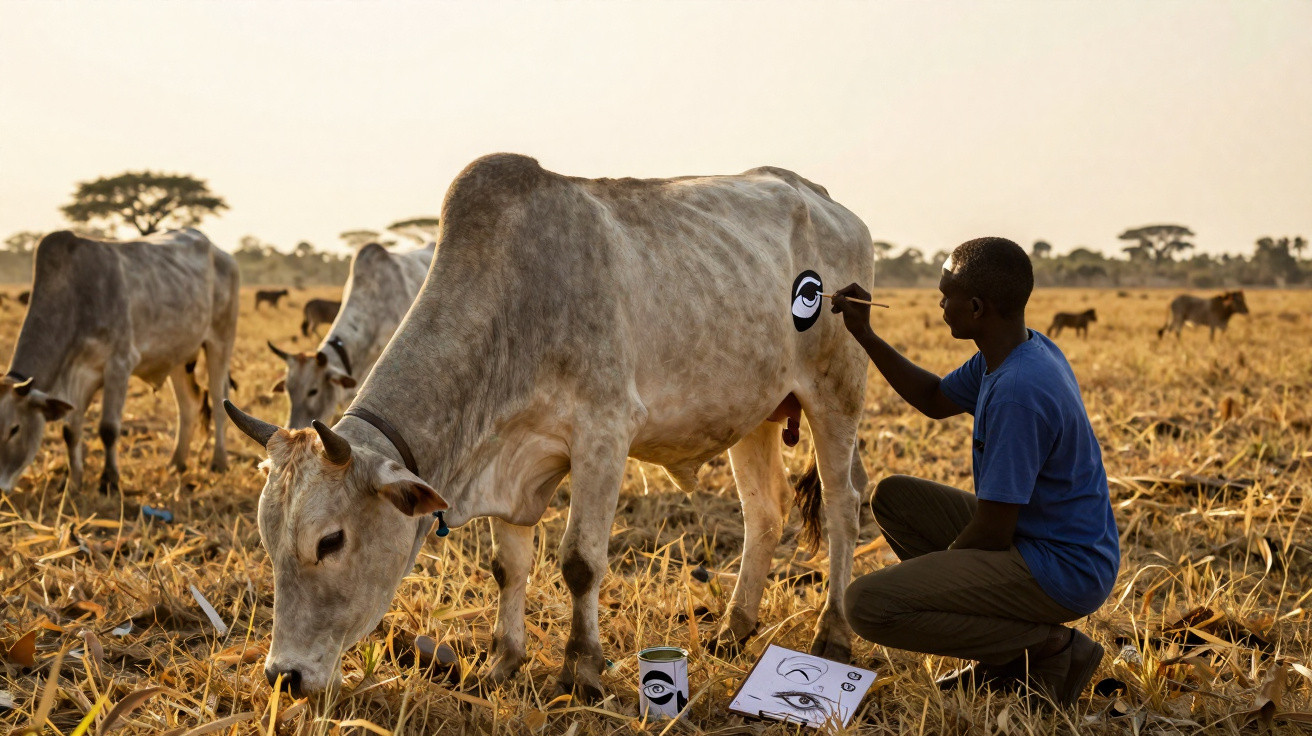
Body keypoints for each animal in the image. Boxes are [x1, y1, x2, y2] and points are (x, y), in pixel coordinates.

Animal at [0, 229, 239, 494]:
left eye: (14, 429)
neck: (75, 297)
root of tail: (222, 254)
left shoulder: (119, 365)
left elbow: (108, 428)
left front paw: (109, 480)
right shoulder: (77, 376)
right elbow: (70, 431)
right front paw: (73, 482)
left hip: (220, 342)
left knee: (218, 399)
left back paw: (219, 462)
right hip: (178, 355)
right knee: (188, 404)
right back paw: (176, 463)